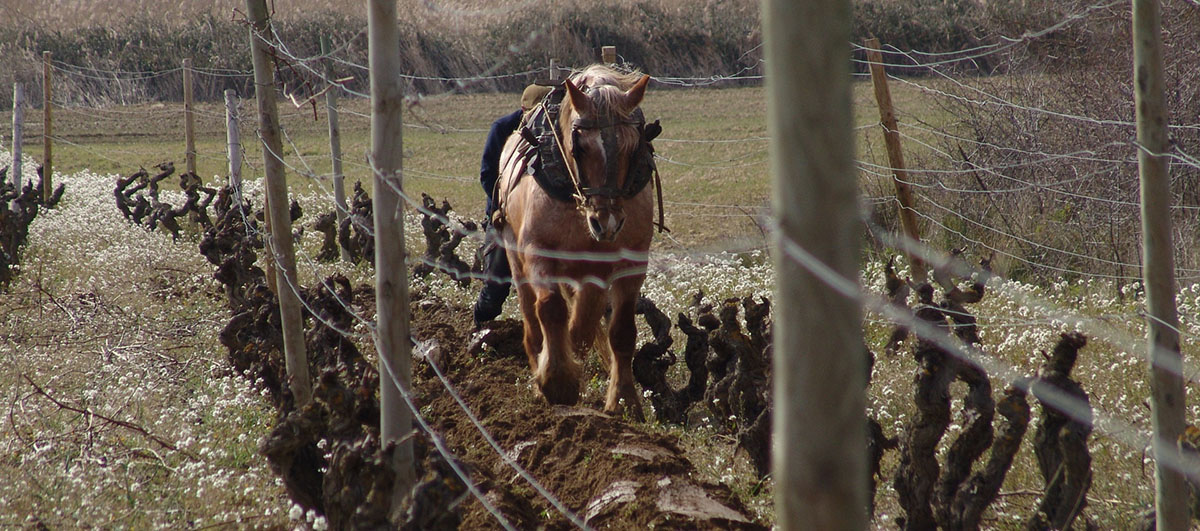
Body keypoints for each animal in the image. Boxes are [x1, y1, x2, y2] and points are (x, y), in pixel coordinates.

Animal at [492, 64, 652, 418]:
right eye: (580, 148)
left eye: (633, 146)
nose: (607, 222)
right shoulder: (538, 252)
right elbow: (551, 309)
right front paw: (557, 380)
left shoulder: (627, 262)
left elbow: (619, 330)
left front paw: (623, 399)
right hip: (515, 254)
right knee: (531, 315)